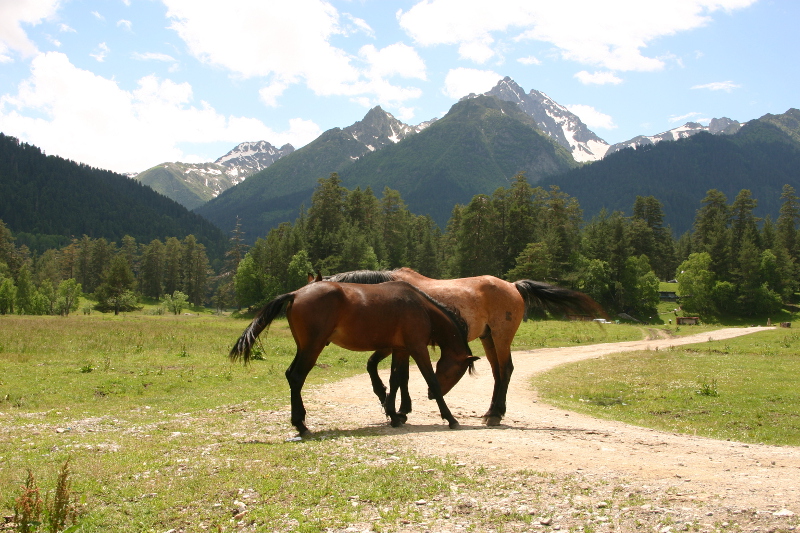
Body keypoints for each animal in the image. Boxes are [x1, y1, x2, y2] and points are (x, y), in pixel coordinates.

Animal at [228, 278, 476, 436]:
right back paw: (301, 425)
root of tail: (297, 293)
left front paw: (394, 415)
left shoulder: (400, 349)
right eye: (458, 371)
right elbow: (430, 380)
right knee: (297, 377)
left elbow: (396, 380)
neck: (420, 307)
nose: (430, 398)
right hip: (313, 347)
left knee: (291, 375)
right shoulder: (417, 348)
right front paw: (450, 418)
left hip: (305, 347)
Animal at [324, 268, 600, 426]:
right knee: (498, 372)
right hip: (488, 339)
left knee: (506, 370)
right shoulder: (398, 345)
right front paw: (396, 406)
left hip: (501, 337)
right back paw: (492, 411)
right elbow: (387, 372)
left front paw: (398, 409)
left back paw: (495, 414)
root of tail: (513, 286)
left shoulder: (402, 344)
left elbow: (398, 376)